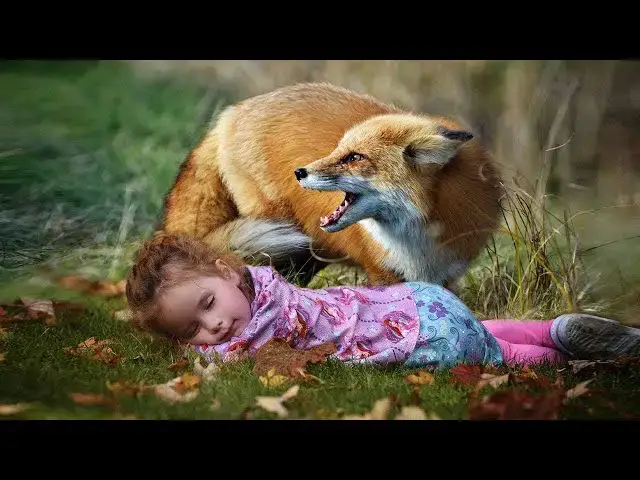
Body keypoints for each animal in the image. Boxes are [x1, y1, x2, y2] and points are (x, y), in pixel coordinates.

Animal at [161, 82, 504, 288]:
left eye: (354, 157)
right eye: (337, 150)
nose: (299, 172)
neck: (418, 238)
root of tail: (231, 113)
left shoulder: (446, 276)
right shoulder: (382, 272)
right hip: (282, 234)